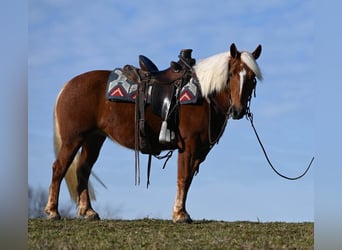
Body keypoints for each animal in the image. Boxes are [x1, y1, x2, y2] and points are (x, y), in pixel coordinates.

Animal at [42, 43, 262, 223]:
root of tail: (67, 86)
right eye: (231, 74)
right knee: (59, 167)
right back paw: (53, 211)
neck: (203, 95)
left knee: (83, 169)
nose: (238, 110)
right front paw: (180, 215)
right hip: (73, 139)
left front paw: (182, 212)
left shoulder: (199, 151)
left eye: (252, 78)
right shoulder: (188, 146)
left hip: (93, 139)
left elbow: (188, 179)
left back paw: (88, 211)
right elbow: (183, 177)